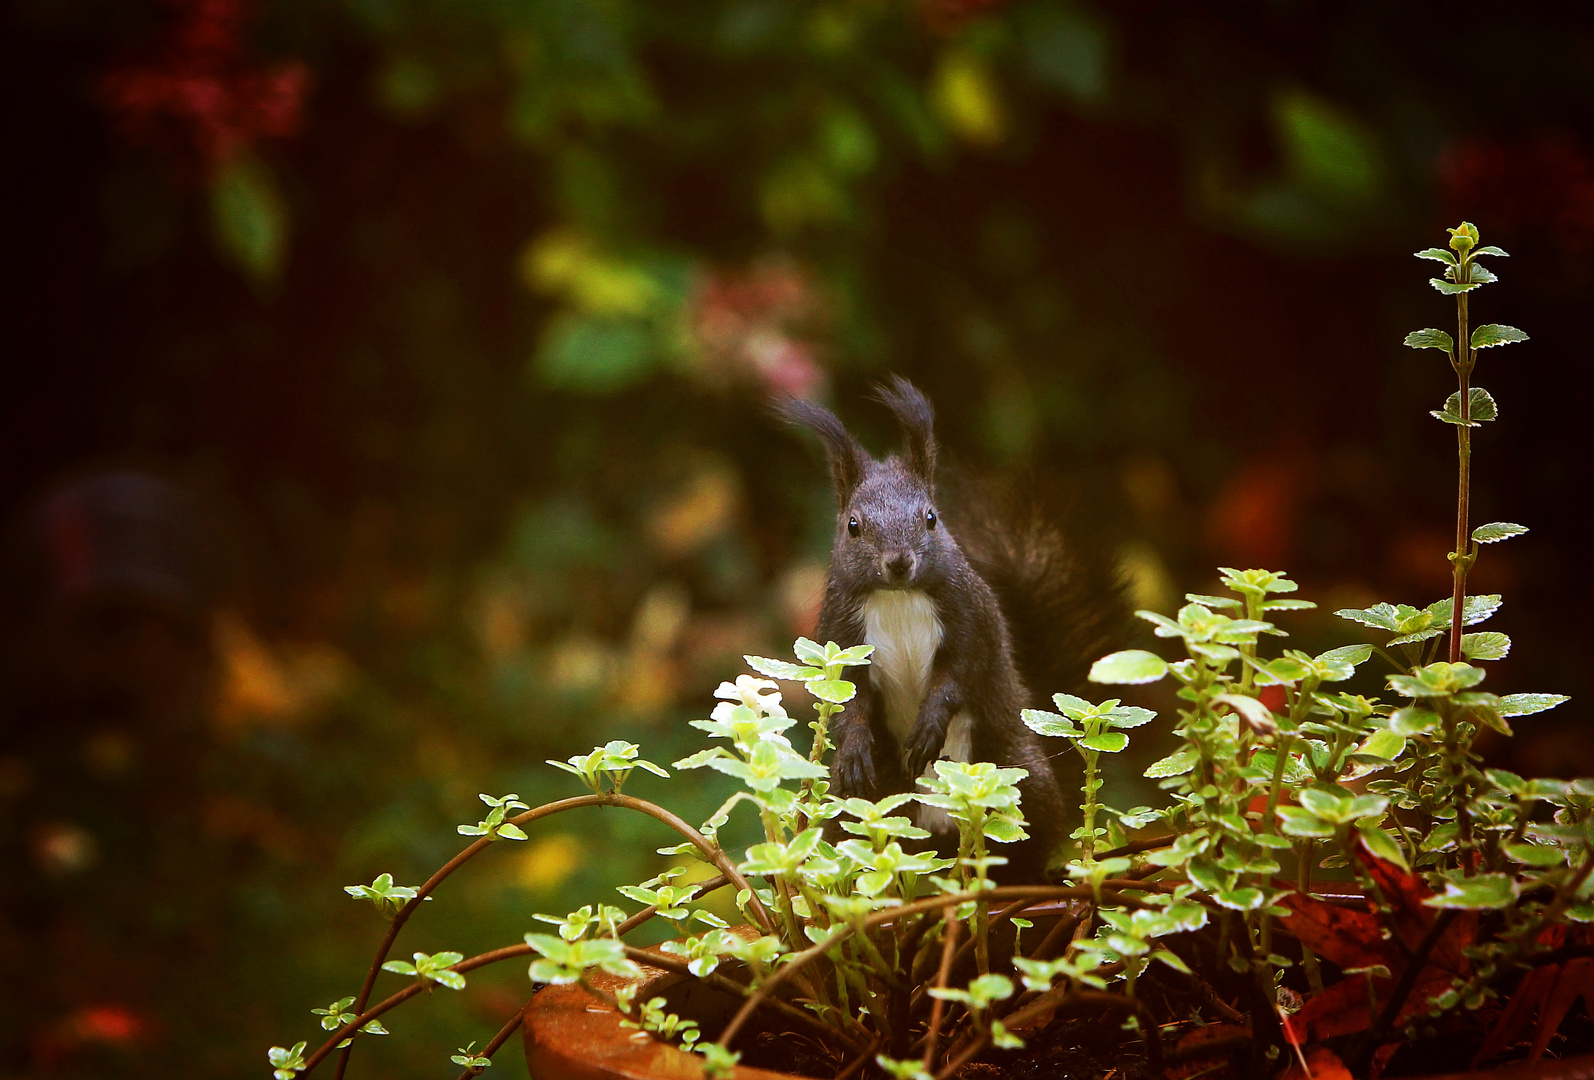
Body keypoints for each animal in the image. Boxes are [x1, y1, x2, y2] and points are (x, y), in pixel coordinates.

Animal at [777, 375, 1128, 885]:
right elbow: (846, 696)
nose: (898, 562)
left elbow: (961, 671)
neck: (898, 597)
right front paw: (856, 745)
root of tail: (944, 830)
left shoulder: (971, 618)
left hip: (1022, 778)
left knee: (1030, 837)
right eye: (853, 526)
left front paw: (929, 726)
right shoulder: (839, 632)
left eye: (931, 517)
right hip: (855, 805)